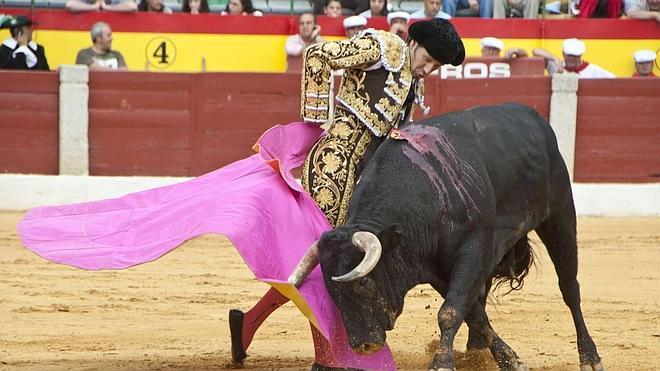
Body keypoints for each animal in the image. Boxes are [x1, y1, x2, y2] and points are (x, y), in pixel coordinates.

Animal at [310, 104, 604, 371]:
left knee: (569, 287)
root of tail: (535, 117)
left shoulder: (471, 250)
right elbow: (472, 313)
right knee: (483, 293)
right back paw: (476, 352)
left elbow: (450, 312)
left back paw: (590, 357)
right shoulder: (441, 268)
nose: (363, 344)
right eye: (331, 290)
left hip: (560, 214)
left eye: (365, 282)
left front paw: (442, 363)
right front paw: (509, 359)